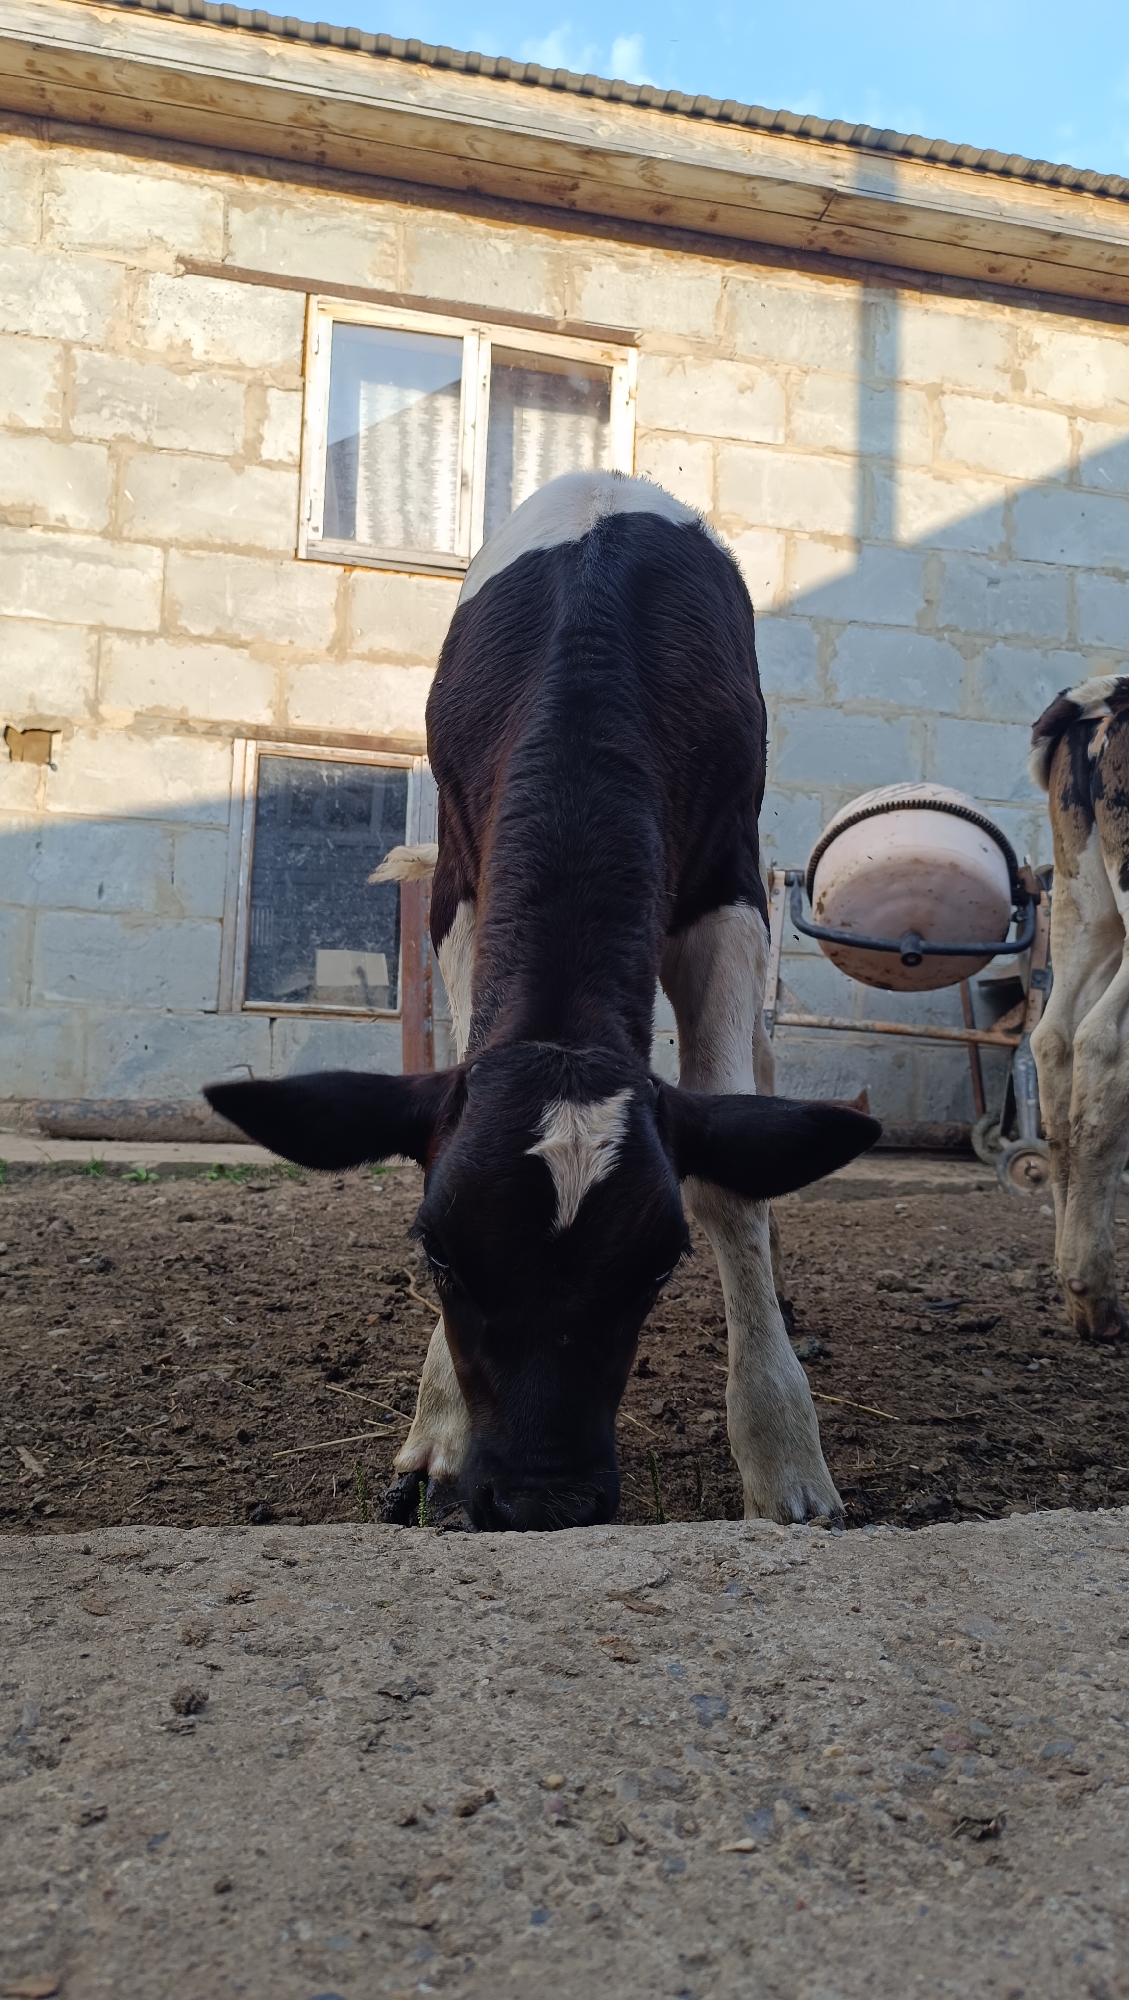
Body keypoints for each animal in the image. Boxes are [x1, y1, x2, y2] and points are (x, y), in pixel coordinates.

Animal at [207, 472, 879, 1531]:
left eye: (659, 1262)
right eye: (438, 1254)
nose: (541, 1499)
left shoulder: (726, 892)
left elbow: (729, 1185)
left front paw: (783, 1456)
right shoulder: (458, 890)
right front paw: (436, 1432)